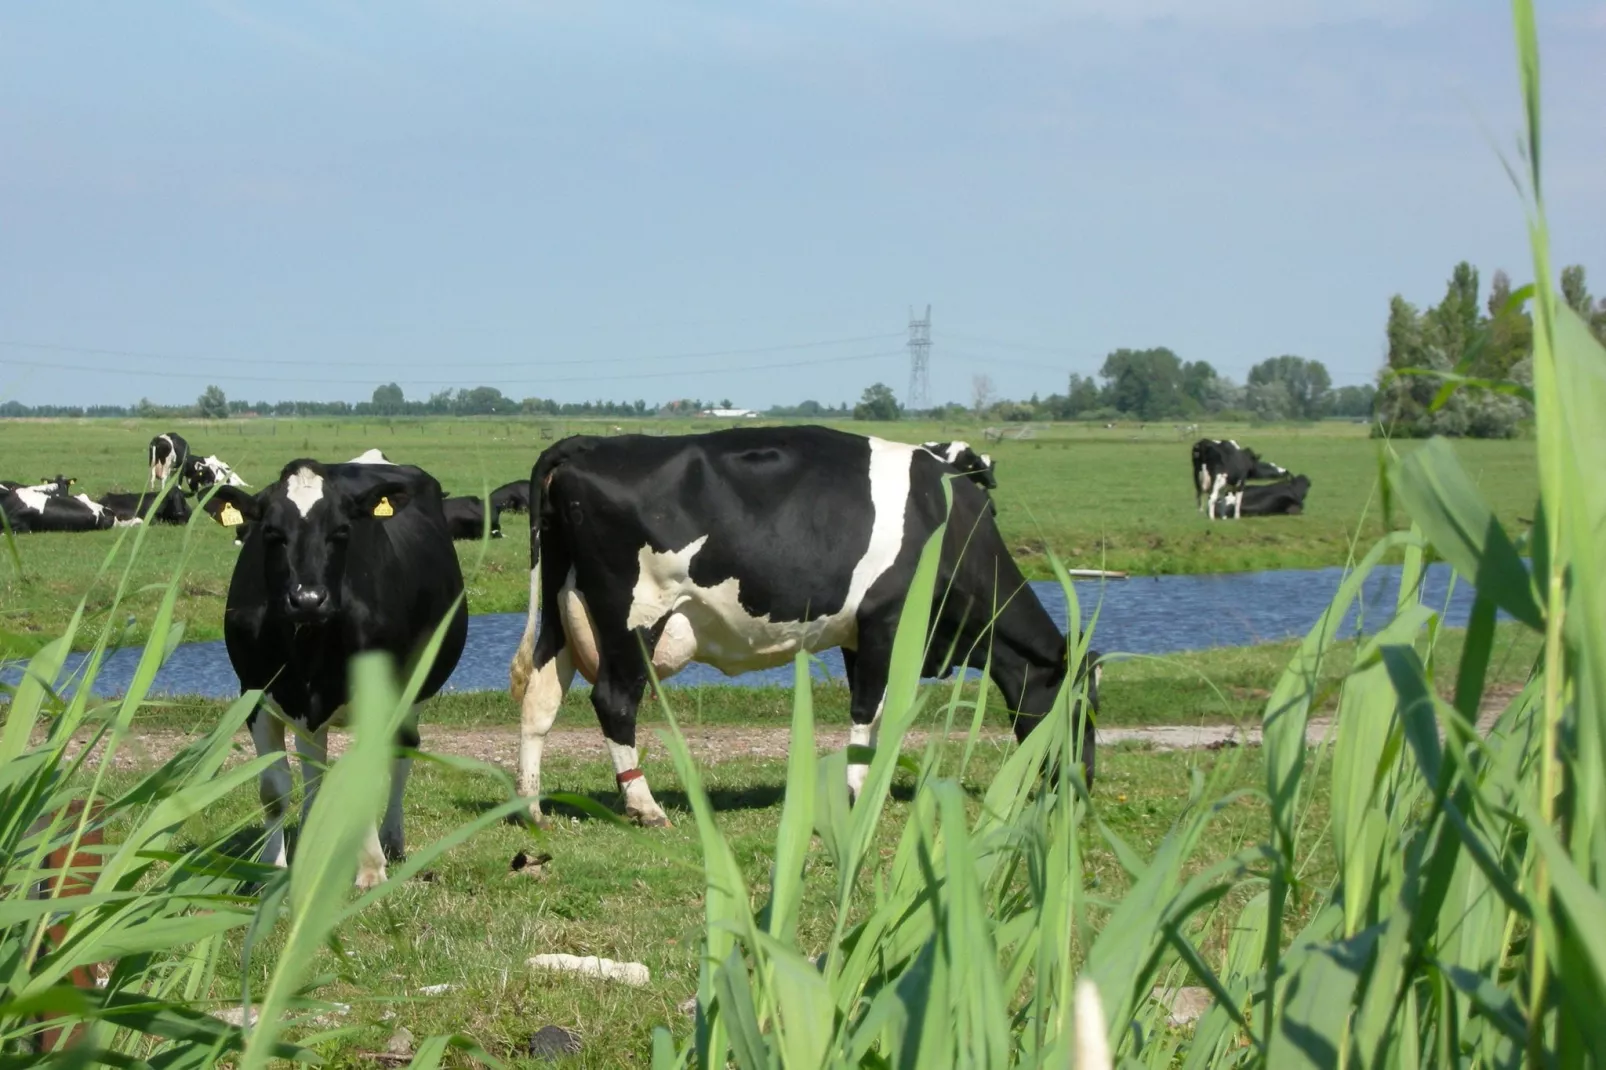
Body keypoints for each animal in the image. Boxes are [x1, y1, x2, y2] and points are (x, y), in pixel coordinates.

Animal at [210, 453, 468, 886]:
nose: (308, 599)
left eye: (342, 530)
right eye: (271, 532)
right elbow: (273, 790)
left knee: (402, 750)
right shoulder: (255, 694)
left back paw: (391, 840)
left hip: (414, 691)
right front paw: (272, 870)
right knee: (314, 761)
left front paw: (370, 869)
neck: (308, 642)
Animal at [507, 424, 1098, 822]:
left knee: (540, 697)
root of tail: (588, 443)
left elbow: (877, 713)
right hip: (634, 612)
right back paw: (645, 806)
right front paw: (859, 793)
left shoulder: (861, 635)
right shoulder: (887, 620)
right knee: (614, 700)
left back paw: (531, 806)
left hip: (562, 607)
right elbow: (870, 709)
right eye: (1083, 708)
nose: (1084, 783)